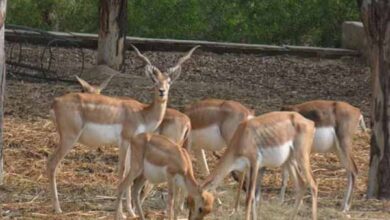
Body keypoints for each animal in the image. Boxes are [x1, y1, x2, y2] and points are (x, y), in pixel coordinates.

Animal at [47, 43, 200, 214]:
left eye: (169, 81)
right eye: (154, 80)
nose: (162, 91)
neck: (142, 114)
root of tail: (56, 102)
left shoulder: (132, 144)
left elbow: (127, 171)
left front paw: (130, 211)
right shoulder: (125, 141)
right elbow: (122, 171)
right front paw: (123, 212)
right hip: (69, 138)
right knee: (51, 163)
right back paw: (58, 208)